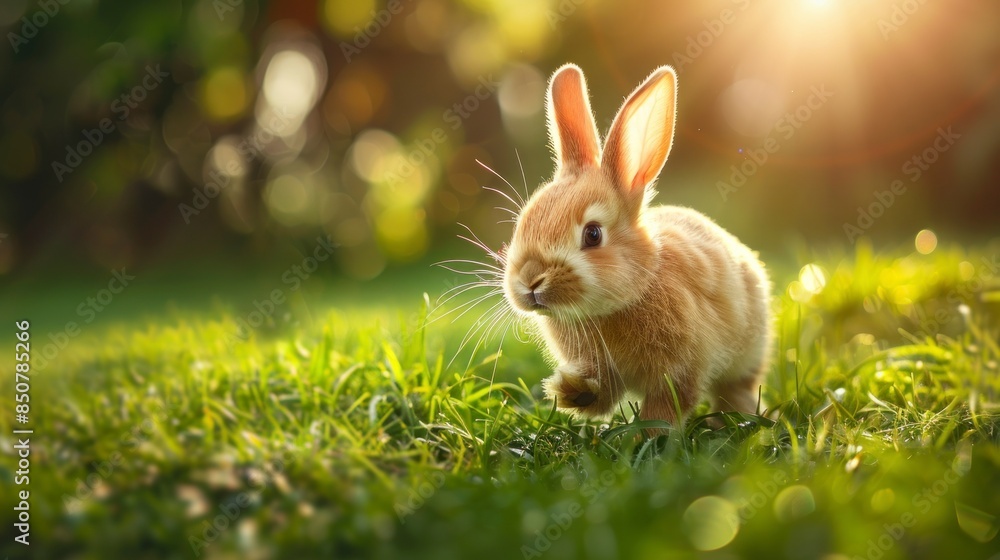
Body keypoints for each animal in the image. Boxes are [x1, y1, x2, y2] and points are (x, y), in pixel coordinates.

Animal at [501, 63, 773, 427]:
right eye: (523, 222)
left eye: (592, 234)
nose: (530, 281)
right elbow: (604, 395)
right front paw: (570, 390)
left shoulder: (680, 370)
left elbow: (666, 406)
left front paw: (650, 434)